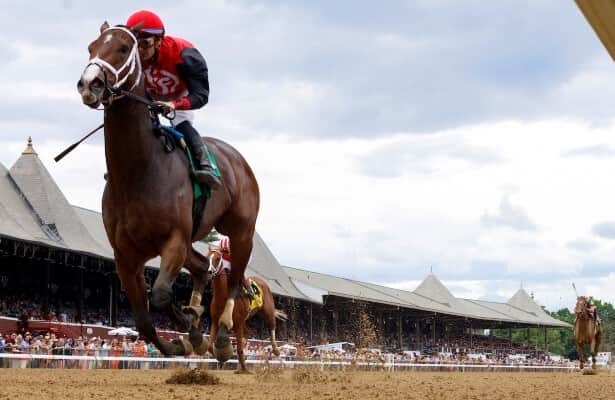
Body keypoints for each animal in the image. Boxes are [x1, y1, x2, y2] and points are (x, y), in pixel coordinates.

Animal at [77, 21, 260, 360]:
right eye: (91, 47)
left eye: (123, 47)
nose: (88, 84)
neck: (138, 174)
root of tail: (238, 160)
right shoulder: (125, 255)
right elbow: (143, 321)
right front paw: (184, 338)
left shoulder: (173, 240)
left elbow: (161, 295)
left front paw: (191, 328)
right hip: (192, 242)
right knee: (202, 270)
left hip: (241, 233)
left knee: (234, 282)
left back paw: (222, 338)